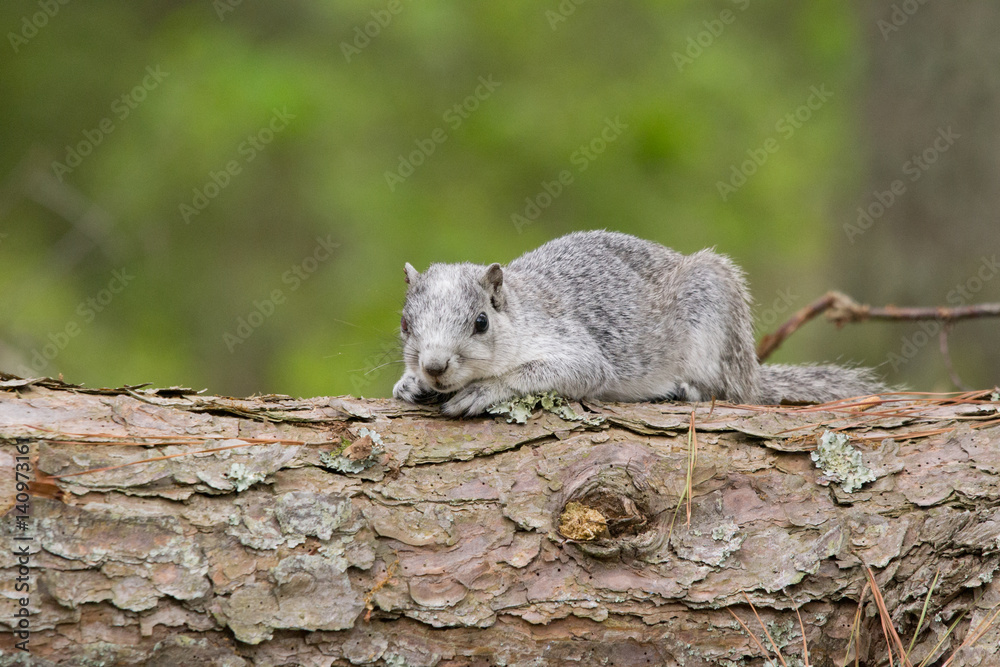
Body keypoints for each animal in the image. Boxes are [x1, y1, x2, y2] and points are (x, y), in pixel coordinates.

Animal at [392, 230, 885, 417]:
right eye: (404, 323)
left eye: (481, 322)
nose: (434, 367)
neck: (520, 309)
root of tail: (751, 370)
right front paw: (409, 384)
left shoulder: (574, 345)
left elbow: (562, 372)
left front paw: (483, 390)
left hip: (715, 315)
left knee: (731, 392)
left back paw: (685, 390)